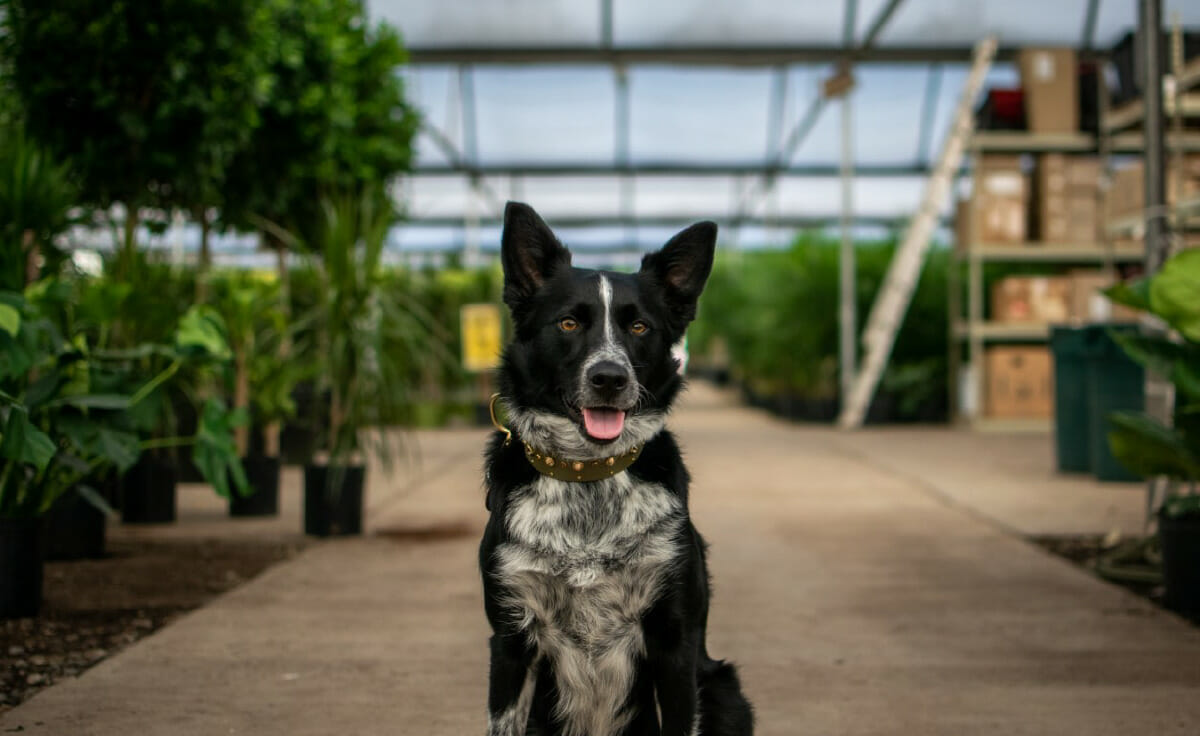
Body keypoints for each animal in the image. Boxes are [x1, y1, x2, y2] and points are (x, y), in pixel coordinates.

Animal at [477, 200, 748, 734]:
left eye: (639, 327)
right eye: (568, 324)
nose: (609, 378)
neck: (589, 475)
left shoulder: (674, 642)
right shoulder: (511, 641)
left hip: (724, 689)